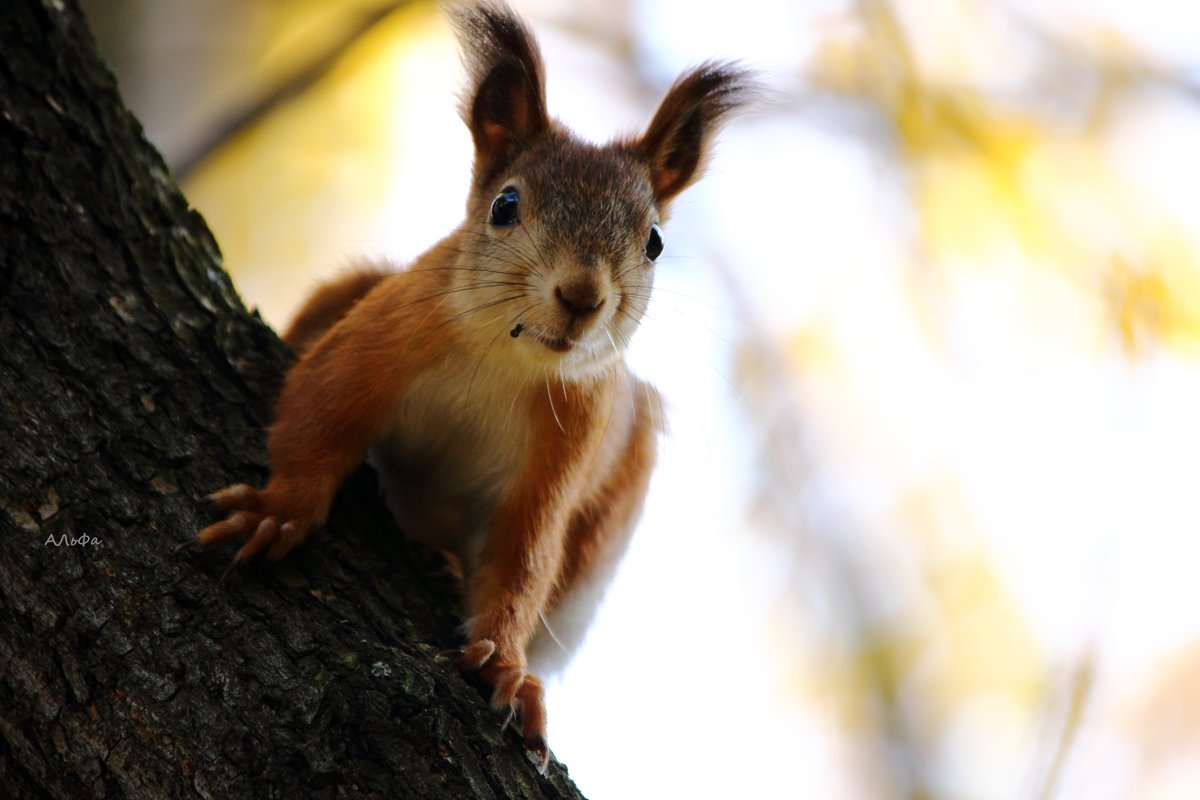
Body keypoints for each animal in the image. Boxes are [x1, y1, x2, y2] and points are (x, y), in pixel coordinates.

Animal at [192, 1, 753, 777]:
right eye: (505, 205)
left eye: (655, 243)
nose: (581, 297)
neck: (506, 359)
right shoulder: (381, 339)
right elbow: (317, 409)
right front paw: (278, 511)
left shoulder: (568, 443)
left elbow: (525, 555)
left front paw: (507, 666)